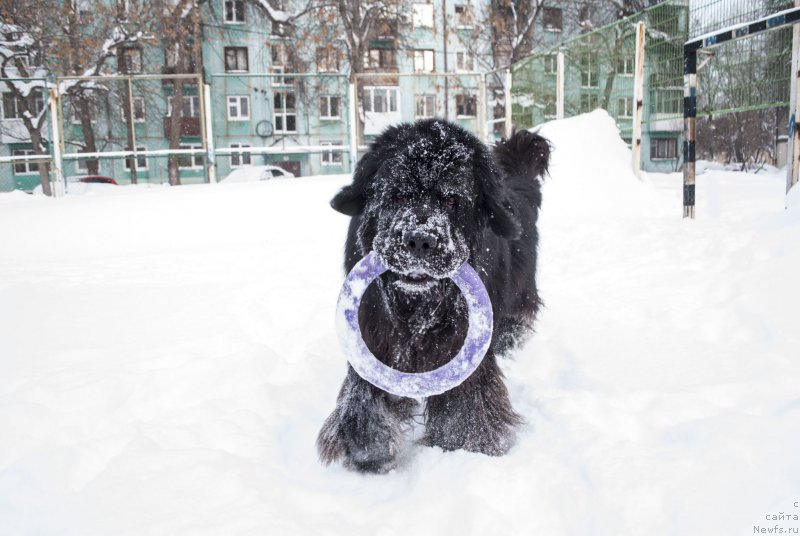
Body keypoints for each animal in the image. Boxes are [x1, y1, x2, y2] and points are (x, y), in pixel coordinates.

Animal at [318, 118, 552, 474]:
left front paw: (462, 443)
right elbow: (365, 391)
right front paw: (367, 446)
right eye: (399, 195)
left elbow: (466, 397)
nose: (419, 240)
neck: (415, 306)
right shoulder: (372, 330)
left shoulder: (463, 342)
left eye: (452, 202)